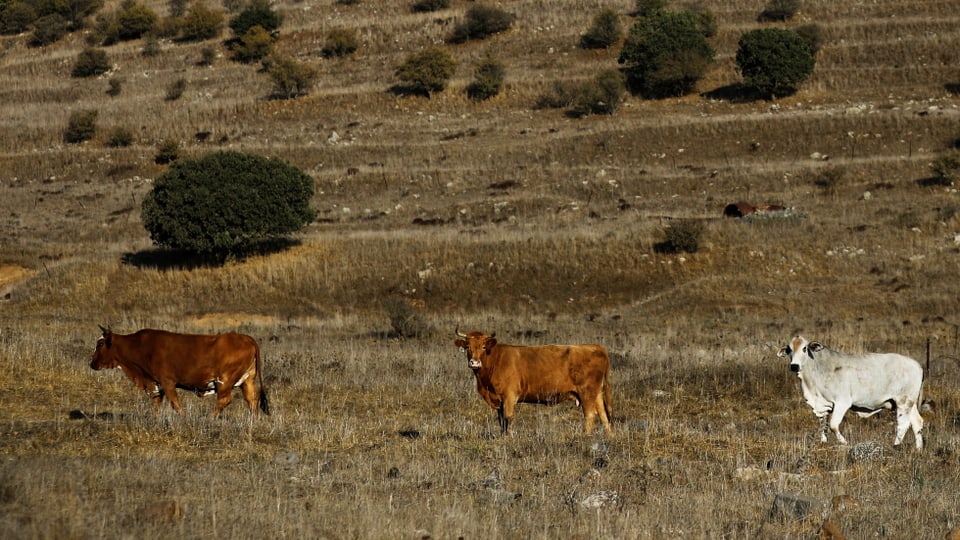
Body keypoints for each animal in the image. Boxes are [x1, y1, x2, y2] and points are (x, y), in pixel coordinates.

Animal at [91, 324, 270, 418]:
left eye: (100, 344)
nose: (92, 364)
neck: (139, 346)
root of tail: (246, 338)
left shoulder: (167, 382)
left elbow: (175, 404)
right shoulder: (155, 383)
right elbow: (156, 403)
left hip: (224, 381)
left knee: (224, 400)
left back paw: (209, 418)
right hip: (247, 381)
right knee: (252, 400)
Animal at [454, 326, 612, 436]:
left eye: (483, 346)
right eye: (467, 347)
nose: (474, 362)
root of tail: (595, 346)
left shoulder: (509, 396)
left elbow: (508, 417)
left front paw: (508, 438)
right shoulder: (498, 400)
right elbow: (501, 420)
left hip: (587, 393)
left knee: (590, 415)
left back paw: (585, 436)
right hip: (596, 393)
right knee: (603, 415)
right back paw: (609, 436)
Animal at [780, 336, 924, 450]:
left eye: (804, 348)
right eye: (789, 349)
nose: (794, 366)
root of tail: (918, 366)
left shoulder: (842, 402)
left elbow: (833, 425)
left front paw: (844, 442)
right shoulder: (822, 405)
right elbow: (822, 425)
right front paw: (823, 441)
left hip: (903, 402)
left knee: (903, 425)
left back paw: (896, 446)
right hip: (909, 403)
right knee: (917, 422)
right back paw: (919, 449)